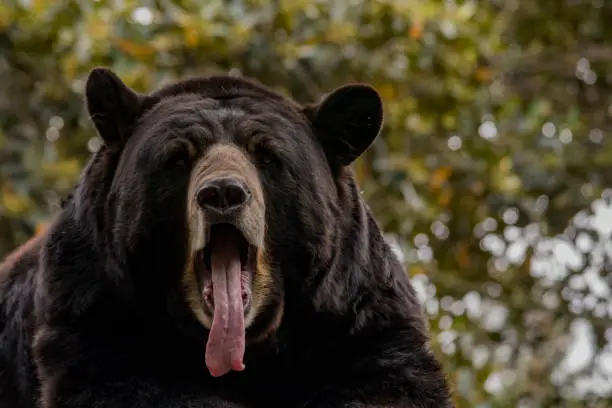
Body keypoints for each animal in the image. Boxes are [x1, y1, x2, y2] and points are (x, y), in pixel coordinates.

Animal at [1, 68, 454, 406]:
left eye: (267, 156)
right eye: (177, 157)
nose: (222, 193)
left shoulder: (356, 318)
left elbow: (386, 381)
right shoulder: (94, 309)